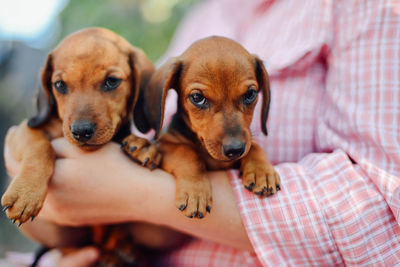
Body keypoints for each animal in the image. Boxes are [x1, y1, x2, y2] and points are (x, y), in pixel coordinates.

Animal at [1, 27, 161, 266]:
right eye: (59, 85)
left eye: (112, 81)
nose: (81, 131)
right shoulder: (22, 132)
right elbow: (41, 147)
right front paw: (26, 194)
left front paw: (143, 144)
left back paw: (125, 254)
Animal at [128, 36, 282, 220]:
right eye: (197, 97)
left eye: (250, 94)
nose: (235, 150)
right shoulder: (166, 144)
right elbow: (188, 153)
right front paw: (195, 191)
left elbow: (254, 146)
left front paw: (262, 171)